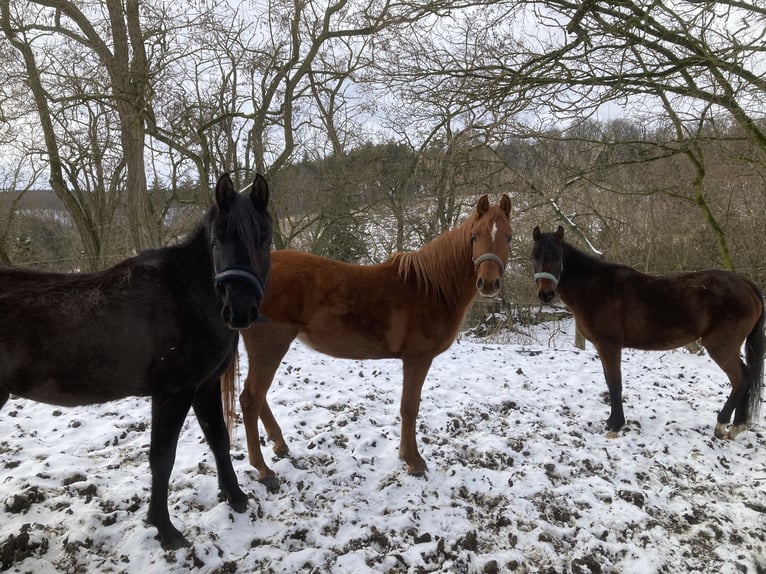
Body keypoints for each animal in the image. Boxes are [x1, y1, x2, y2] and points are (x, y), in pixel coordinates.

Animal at [0, 173, 272, 550]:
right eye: (217, 242)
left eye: (265, 239)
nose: (240, 310)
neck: (187, 295)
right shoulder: (172, 393)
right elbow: (162, 458)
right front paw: (165, 529)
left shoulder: (203, 387)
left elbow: (218, 439)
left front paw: (235, 496)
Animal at [222, 194, 512, 486]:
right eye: (474, 236)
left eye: (508, 237)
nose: (488, 283)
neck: (433, 288)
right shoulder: (417, 358)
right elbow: (409, 407)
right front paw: (413, 462)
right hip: (270, 346)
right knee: (251, 400)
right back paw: (263, 470)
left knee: (257, 397)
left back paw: (280, 445)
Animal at [531, 225, 764, 439]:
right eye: (534, 256)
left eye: (557, 257)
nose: (545, 294)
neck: (594, 288)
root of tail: (746, 284)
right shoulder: (603, 347)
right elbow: (609, 381)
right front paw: (610, 422)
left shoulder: (609, 345)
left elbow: (614, 383)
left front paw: (616, 426)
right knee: (746, 376)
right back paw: (737, 427)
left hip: (720, 346)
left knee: (741, 379)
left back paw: (722, 425)